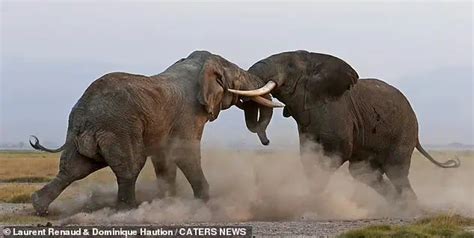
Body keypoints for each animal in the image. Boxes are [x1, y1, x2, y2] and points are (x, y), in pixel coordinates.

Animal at [29, 50, 282, 216]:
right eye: (237, 79)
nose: (267, 142)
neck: (198, 67)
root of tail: (82, 112)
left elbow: (165, 160)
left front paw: (169, 202)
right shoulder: (188, 115)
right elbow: (184, 153)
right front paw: (204, 203)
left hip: (89, 135)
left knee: (73, 169)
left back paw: (39, 208)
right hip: (119, 129)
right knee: (130, 167)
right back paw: (129, 211)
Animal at [231, 50, 462, 205]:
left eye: (289, 67)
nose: (266, 141)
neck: (315, 59)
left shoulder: (336, 110)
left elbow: (334, 154)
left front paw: (312, 203)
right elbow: (308, 156)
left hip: (404, 132)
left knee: (396, 172)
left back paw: (409, 208)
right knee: (364, 173)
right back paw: (397, 206)